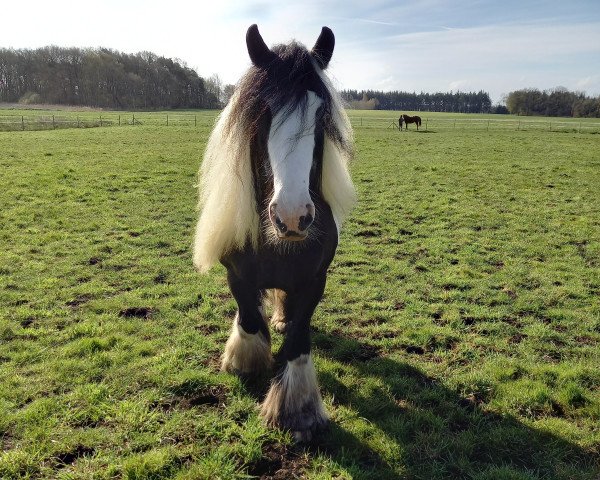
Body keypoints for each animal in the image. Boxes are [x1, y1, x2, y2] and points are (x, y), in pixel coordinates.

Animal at [195, 24, 356, 440]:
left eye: (321, 113)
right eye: (263, 110)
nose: (292, 216)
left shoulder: (315, 280)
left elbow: (299, 339)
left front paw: (296, 410)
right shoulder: (236, 274)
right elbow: (249, 318)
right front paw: (244, 361)